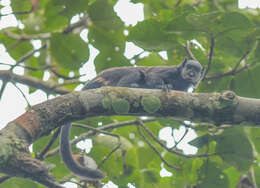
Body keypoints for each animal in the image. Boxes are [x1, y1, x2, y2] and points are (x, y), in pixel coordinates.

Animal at [60, 58, 204, 181]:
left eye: (196, 70)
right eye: (189, 67)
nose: (191, 73)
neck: (180, 78)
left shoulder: (183, 89)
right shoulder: (168, 70)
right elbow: (152, 76)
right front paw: (161, 86)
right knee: (134, 73)